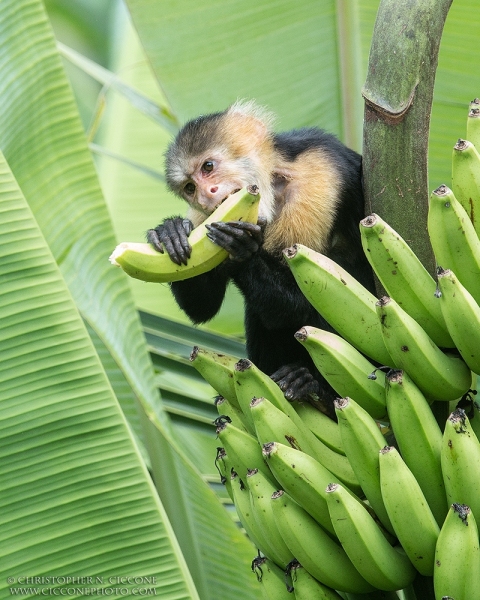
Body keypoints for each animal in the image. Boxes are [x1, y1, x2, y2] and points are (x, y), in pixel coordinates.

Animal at [146, 99, 376, 418]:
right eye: (190, 188)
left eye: (208, 167)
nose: (207, 194)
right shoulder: (203, 218)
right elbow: (203, 309)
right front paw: (171, 231)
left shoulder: (320, 174)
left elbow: (305, 304)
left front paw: (242, 249)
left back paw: (314, 386)